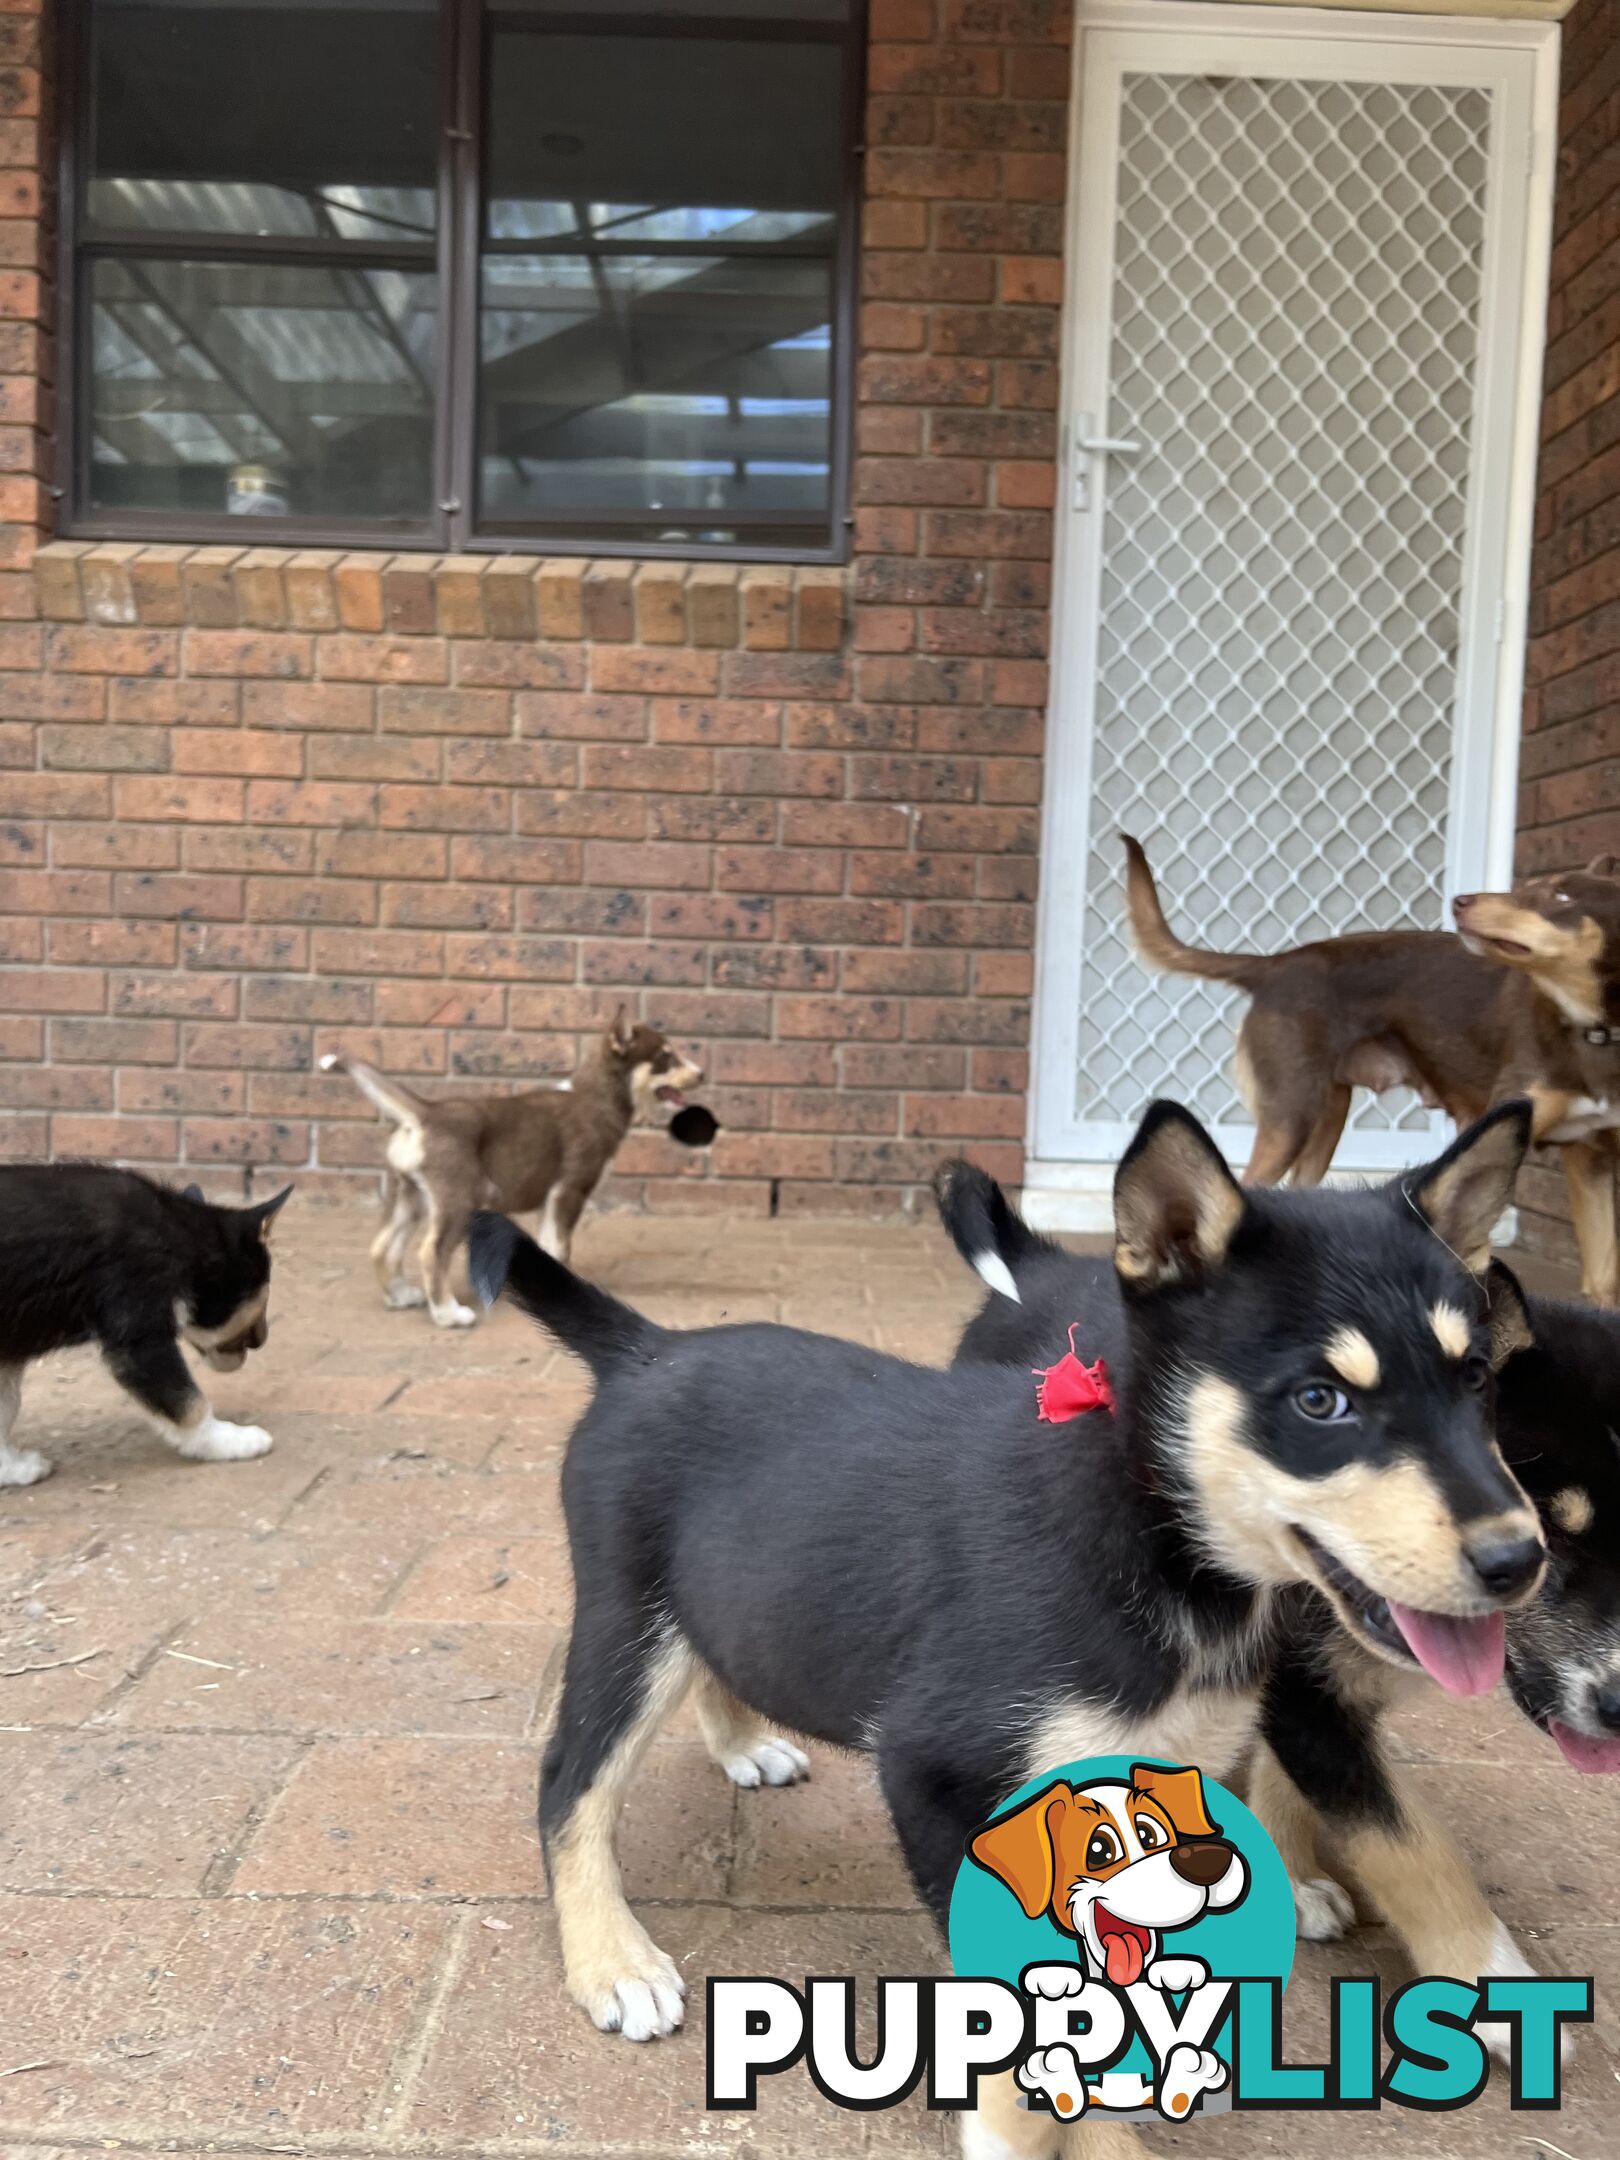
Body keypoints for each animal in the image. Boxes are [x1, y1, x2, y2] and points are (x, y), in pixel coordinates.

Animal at [1, 1166, 291, 1486]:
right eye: (262, 1295)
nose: (261, 1340)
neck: (177, 1236)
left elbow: (7, 1406)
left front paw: (11, 1468)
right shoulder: (139, 1340)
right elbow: (189, 1404)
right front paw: (228, 1441)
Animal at [475, 1105, 1537, 2151]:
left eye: (1478, 1381)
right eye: (1322, 1401)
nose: (1519, 1561)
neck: (1151, 1536)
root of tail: (646, 1348)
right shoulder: (935, 1772)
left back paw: (743, 1745)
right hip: (625, 1617)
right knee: (568, 1784)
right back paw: (611, 1961)